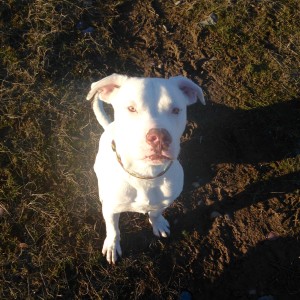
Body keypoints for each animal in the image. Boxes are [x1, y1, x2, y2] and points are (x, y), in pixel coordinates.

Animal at [85, 74, 205, 264]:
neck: (146, 176)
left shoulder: (164, 201)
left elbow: (155, 213)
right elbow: (113, 229)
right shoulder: (111, 210)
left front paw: (158, 223)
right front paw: (112, 245)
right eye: (131, 108)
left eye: (176, 110)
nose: (160, 137)